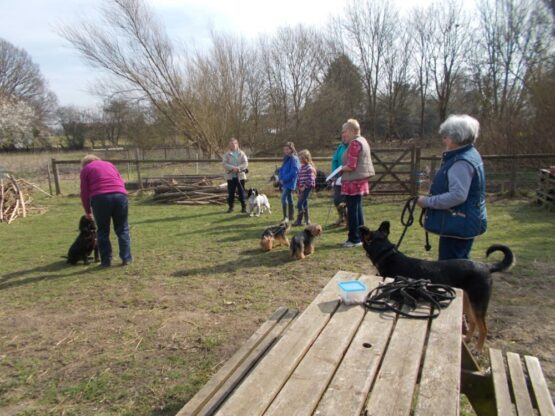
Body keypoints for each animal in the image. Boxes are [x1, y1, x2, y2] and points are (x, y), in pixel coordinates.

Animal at [360, 221, 512, 352]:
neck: (387, 254)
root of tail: (486, 266)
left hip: (478, 302)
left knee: (483, 328)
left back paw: (478, 348)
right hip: (468, 301)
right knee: (473, 322)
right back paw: (467, 339)